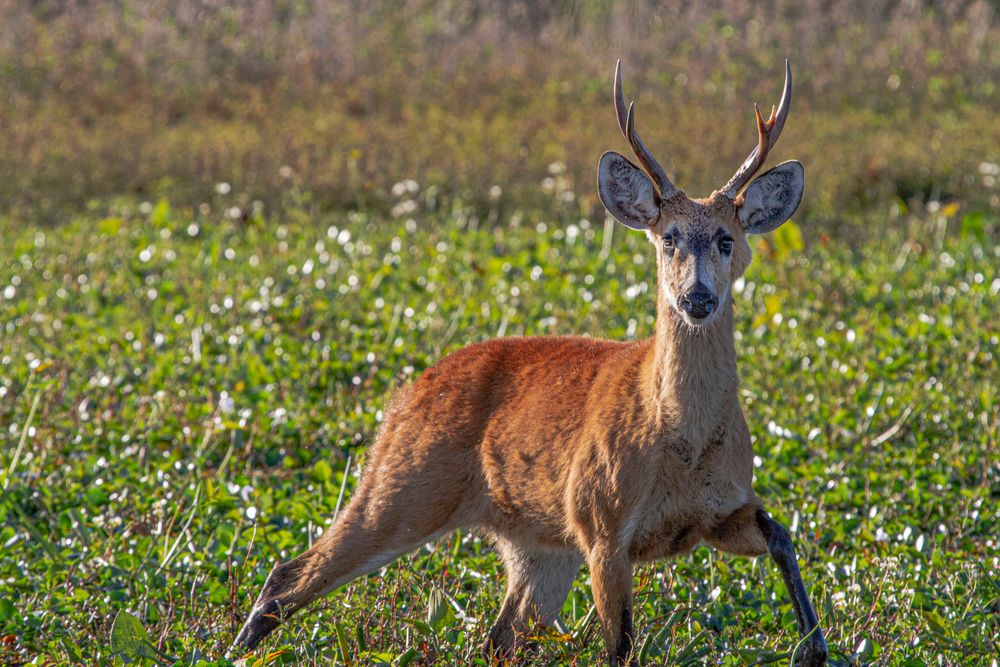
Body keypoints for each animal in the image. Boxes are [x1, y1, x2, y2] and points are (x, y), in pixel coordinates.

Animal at [227, 60, 828, 664]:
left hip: (537, 544)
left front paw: (815, 647)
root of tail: (406, 392)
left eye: (727, 239)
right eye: (668, 239)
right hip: (403, 484)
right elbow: (620, 646)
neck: (683, 443)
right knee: (287, 577)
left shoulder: (719, 510)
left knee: (498, 636)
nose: (697, 298)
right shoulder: (601, 524)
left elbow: (781, 534)